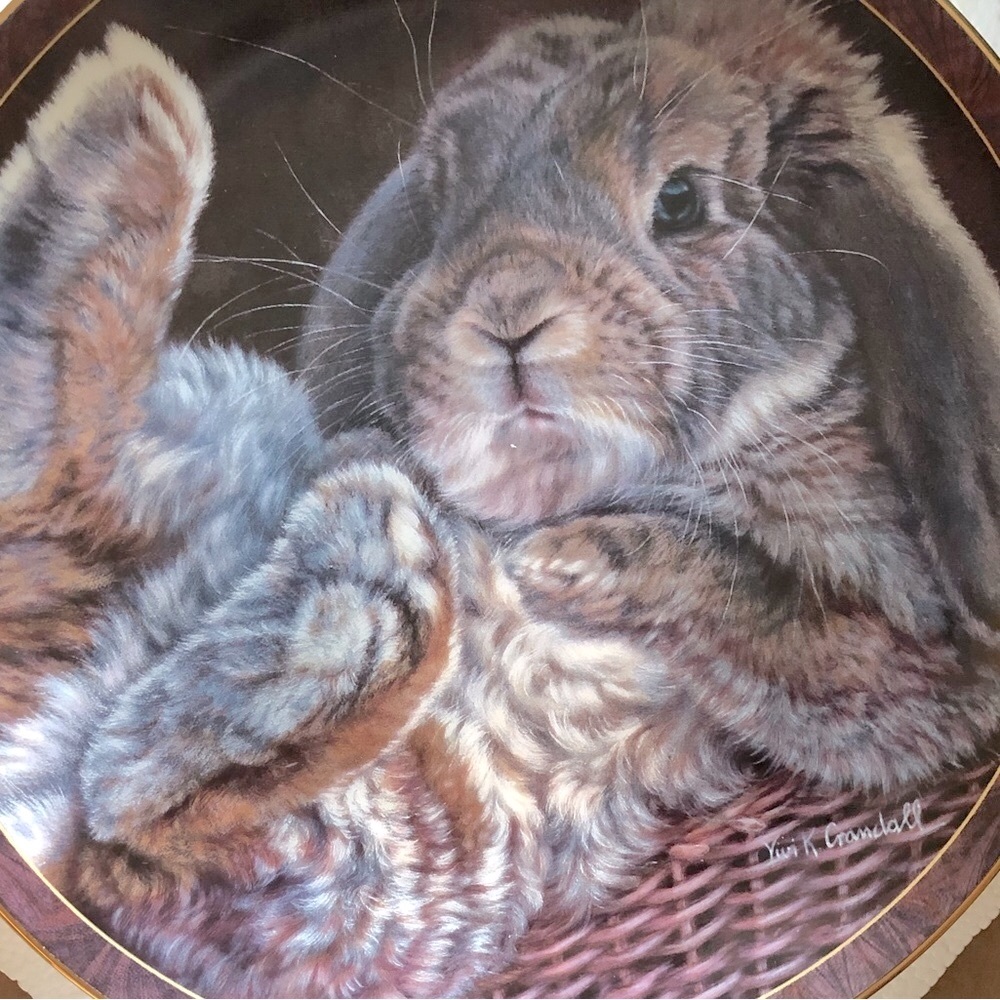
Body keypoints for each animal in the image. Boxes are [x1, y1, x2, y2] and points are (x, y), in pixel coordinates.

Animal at [1, 1, 1000, 997]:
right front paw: (413, 490)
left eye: (681, 199)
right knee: (67, 410)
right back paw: (135, 114)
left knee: (138, 786)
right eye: (444, 203)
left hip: (373, 871)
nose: (507, 313)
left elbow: (776, 612)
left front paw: (563, 562)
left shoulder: (904, 670)